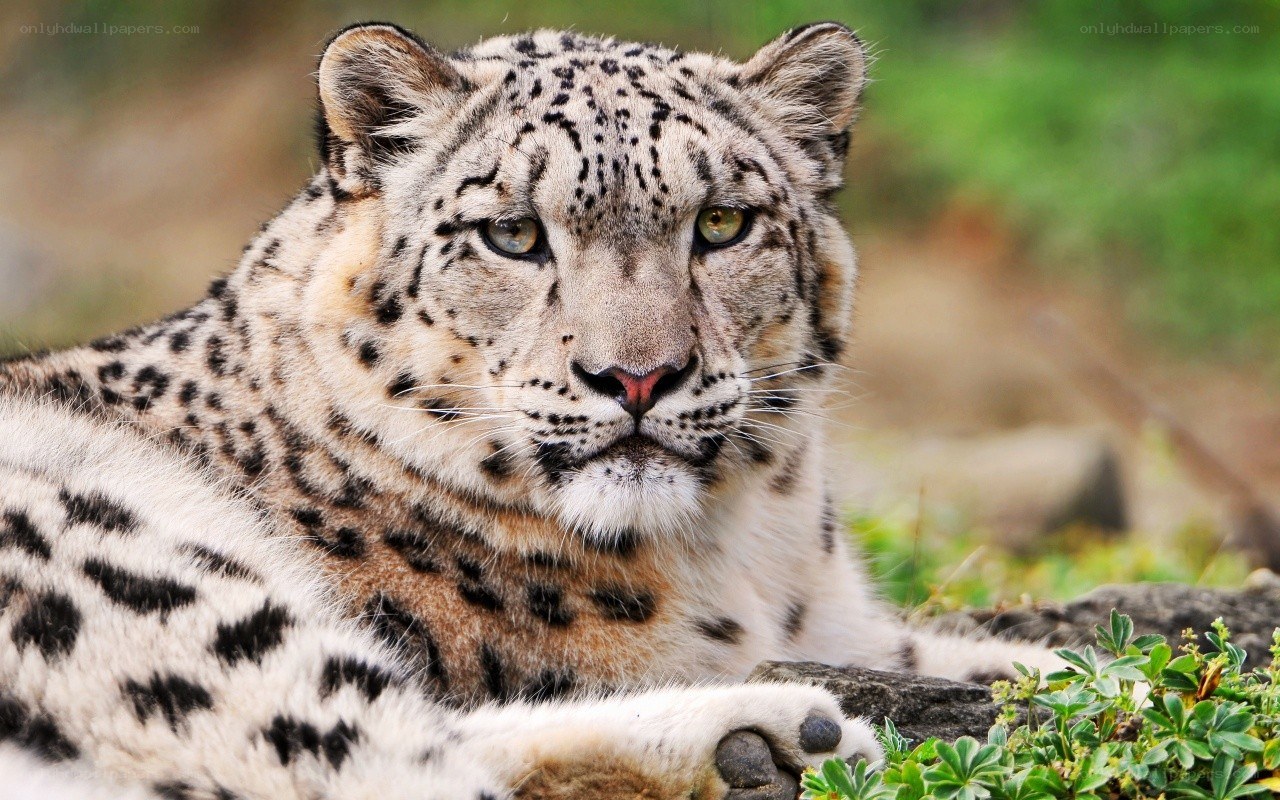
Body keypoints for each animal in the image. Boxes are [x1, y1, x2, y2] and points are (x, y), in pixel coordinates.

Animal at [0, 21, 1062, 799]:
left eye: (723, 223)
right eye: (512, 234)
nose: (637, 377)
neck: (751, 554)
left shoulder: (850, 626)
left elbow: (976, 654)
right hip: (161, 596)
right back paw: (776, 735)